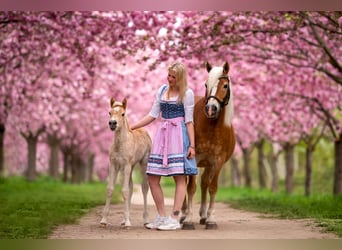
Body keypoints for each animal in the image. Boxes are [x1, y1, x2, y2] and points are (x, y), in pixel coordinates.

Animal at [99, 97, 152, 229]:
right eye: (109, 112)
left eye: (123, 114)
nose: (112, 123)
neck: (120, 144)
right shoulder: (114, 165)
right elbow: (110, 189)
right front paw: (104, 220)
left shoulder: (127, 165)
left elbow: (125, 191)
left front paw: (128, 223)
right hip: (129, 167)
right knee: (131, 187)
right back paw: (124, 219)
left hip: (143, 164)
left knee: (144, 188)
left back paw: (145, 220)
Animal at [182, 61, 235, 229]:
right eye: (206, 84)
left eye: (225, 85)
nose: (211, 108)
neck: (211, 126)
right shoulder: (194, 158)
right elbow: (191, 188)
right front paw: (188, 219)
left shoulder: (217, 162)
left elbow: (212, 187)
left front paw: (211, 219)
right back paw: (183, 214)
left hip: (208, 164)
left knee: (205, 183)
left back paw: (203, 215)